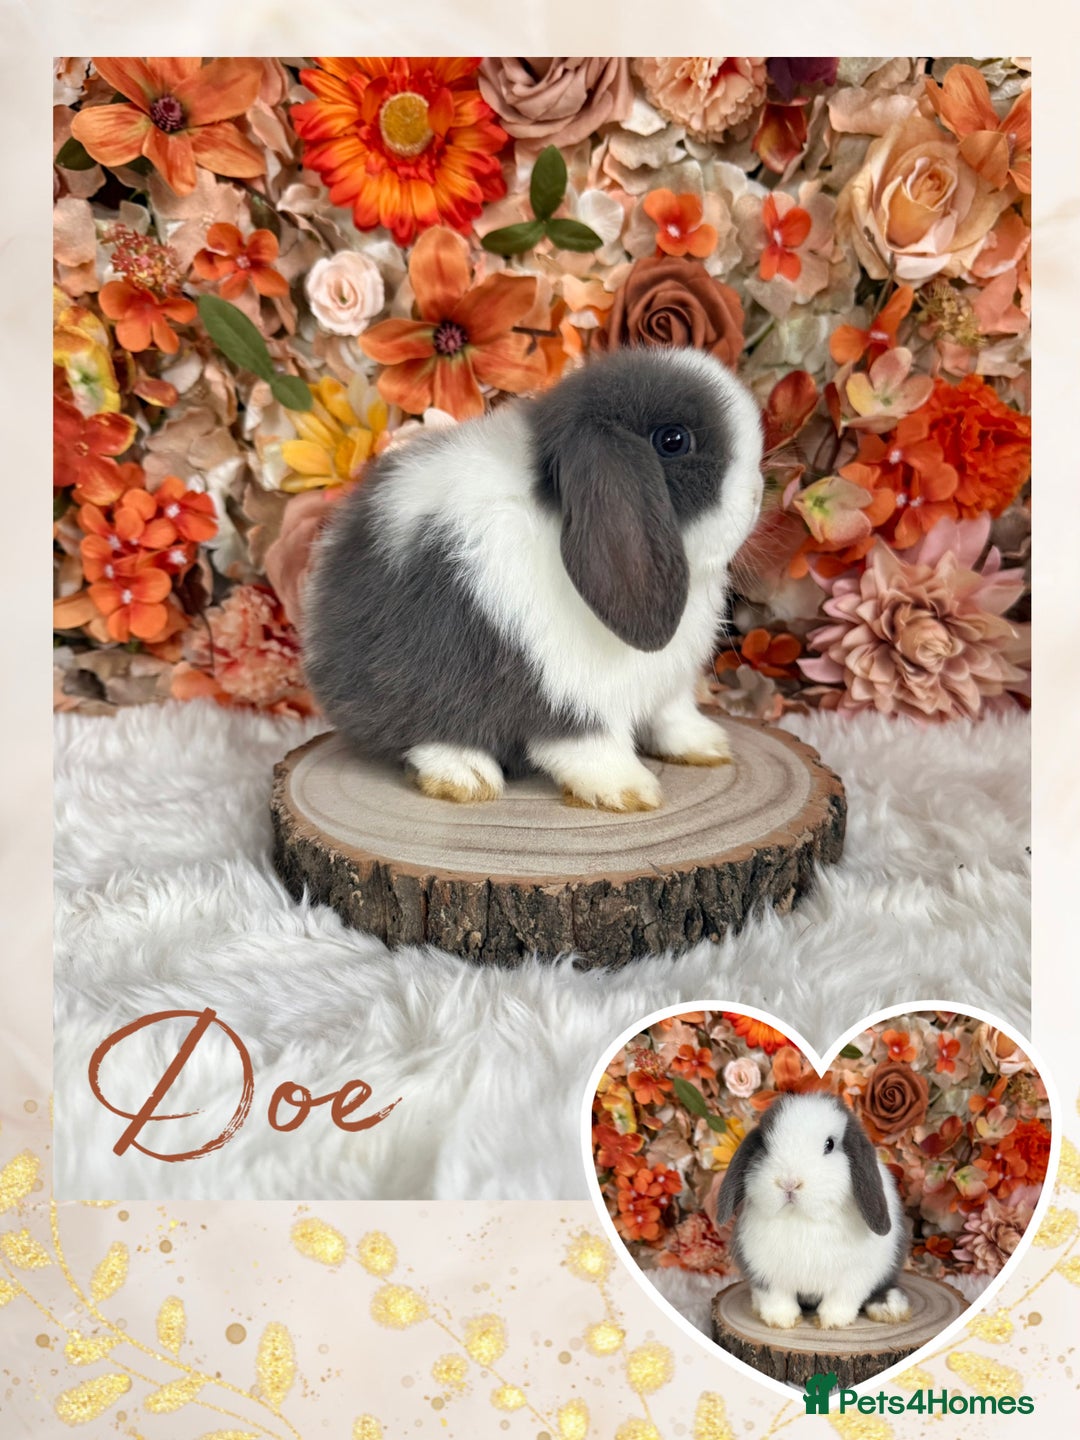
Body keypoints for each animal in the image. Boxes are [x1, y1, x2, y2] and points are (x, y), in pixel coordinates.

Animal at [301, 344, 764, 811]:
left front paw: (707, 745)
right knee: (417, 730)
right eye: (673, 440)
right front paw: (628, 790)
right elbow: (590, 746)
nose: (759, 493)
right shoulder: (565, 694)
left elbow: (673, 716)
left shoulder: (670, 686)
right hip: (409, 681)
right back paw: (466, 775)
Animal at [715, 1092, 911, 1331]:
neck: (803, 1219)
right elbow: (777, 1299)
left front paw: (831, 1322)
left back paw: (889, 1307)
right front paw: (782, 1321)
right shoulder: (765, 1273)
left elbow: (840, 1300)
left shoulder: (854, 1277)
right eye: (765, 1145)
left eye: (829, 1144)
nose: (789, 1183)